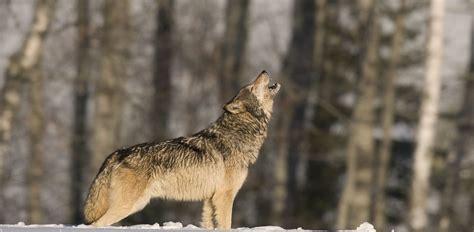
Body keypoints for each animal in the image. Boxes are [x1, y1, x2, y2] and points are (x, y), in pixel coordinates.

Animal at [83, 70, 280, 228]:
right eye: (252, 86)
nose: (264, 71)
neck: (239, 132)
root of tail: (118, 153)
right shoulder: (224, 196)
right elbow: (226, 225)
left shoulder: (210, 199)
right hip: (129, 205)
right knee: (96, 224)